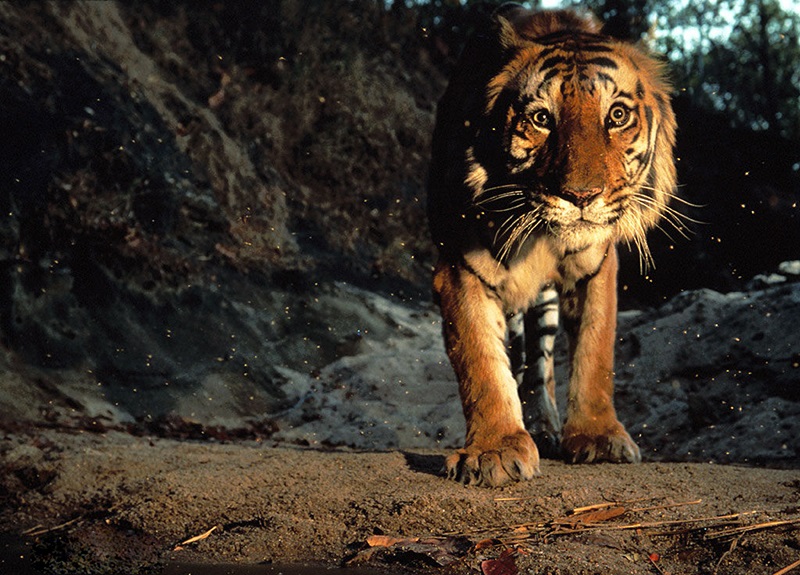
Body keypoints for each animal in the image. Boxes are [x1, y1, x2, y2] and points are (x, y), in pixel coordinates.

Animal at [428, 5, 680, 490]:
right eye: (542, 119)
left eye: (617, 115)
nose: (581, 196)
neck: (542, 240)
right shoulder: (460, 269)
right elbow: (482, 361)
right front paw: (493, 451)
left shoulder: (597, 268)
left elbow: (595, 352)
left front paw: (598, 437)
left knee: (539, 365)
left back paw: (545, 426)